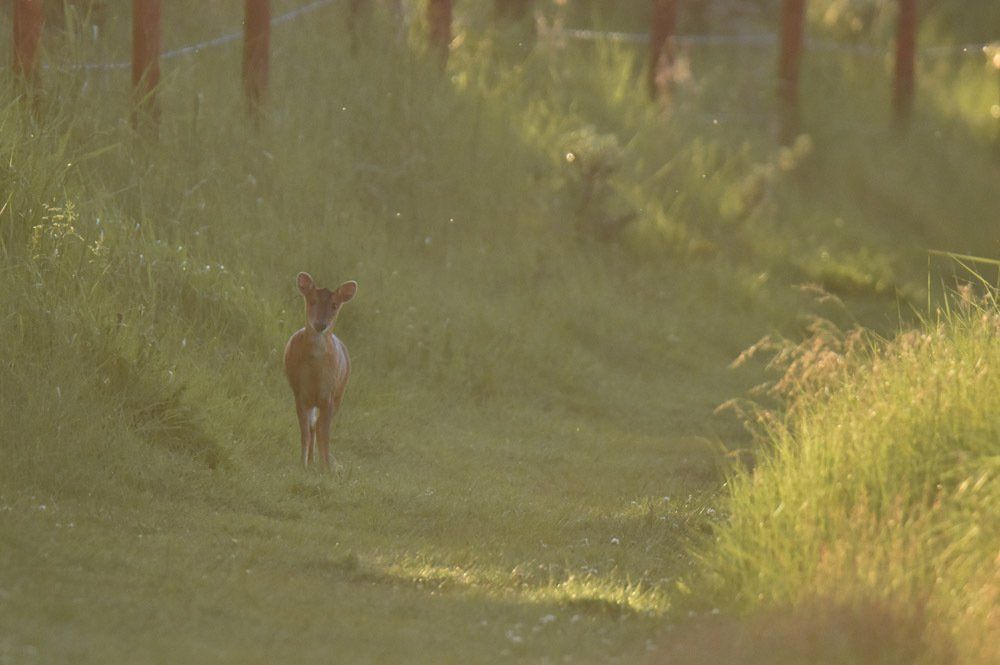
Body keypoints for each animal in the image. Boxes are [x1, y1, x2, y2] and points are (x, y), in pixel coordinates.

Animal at [284, 272, 358, 470]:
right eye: (312, 300)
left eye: (334, 305)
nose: (320, 325)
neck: (315, 373)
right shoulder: (300, 393)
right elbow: (305, 432)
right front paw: (303, 464)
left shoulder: (329, 395)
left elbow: (324, 433)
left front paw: (327, 467)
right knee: (312, 427)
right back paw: (311, 461)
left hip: (340, 392)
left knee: (318, 426)